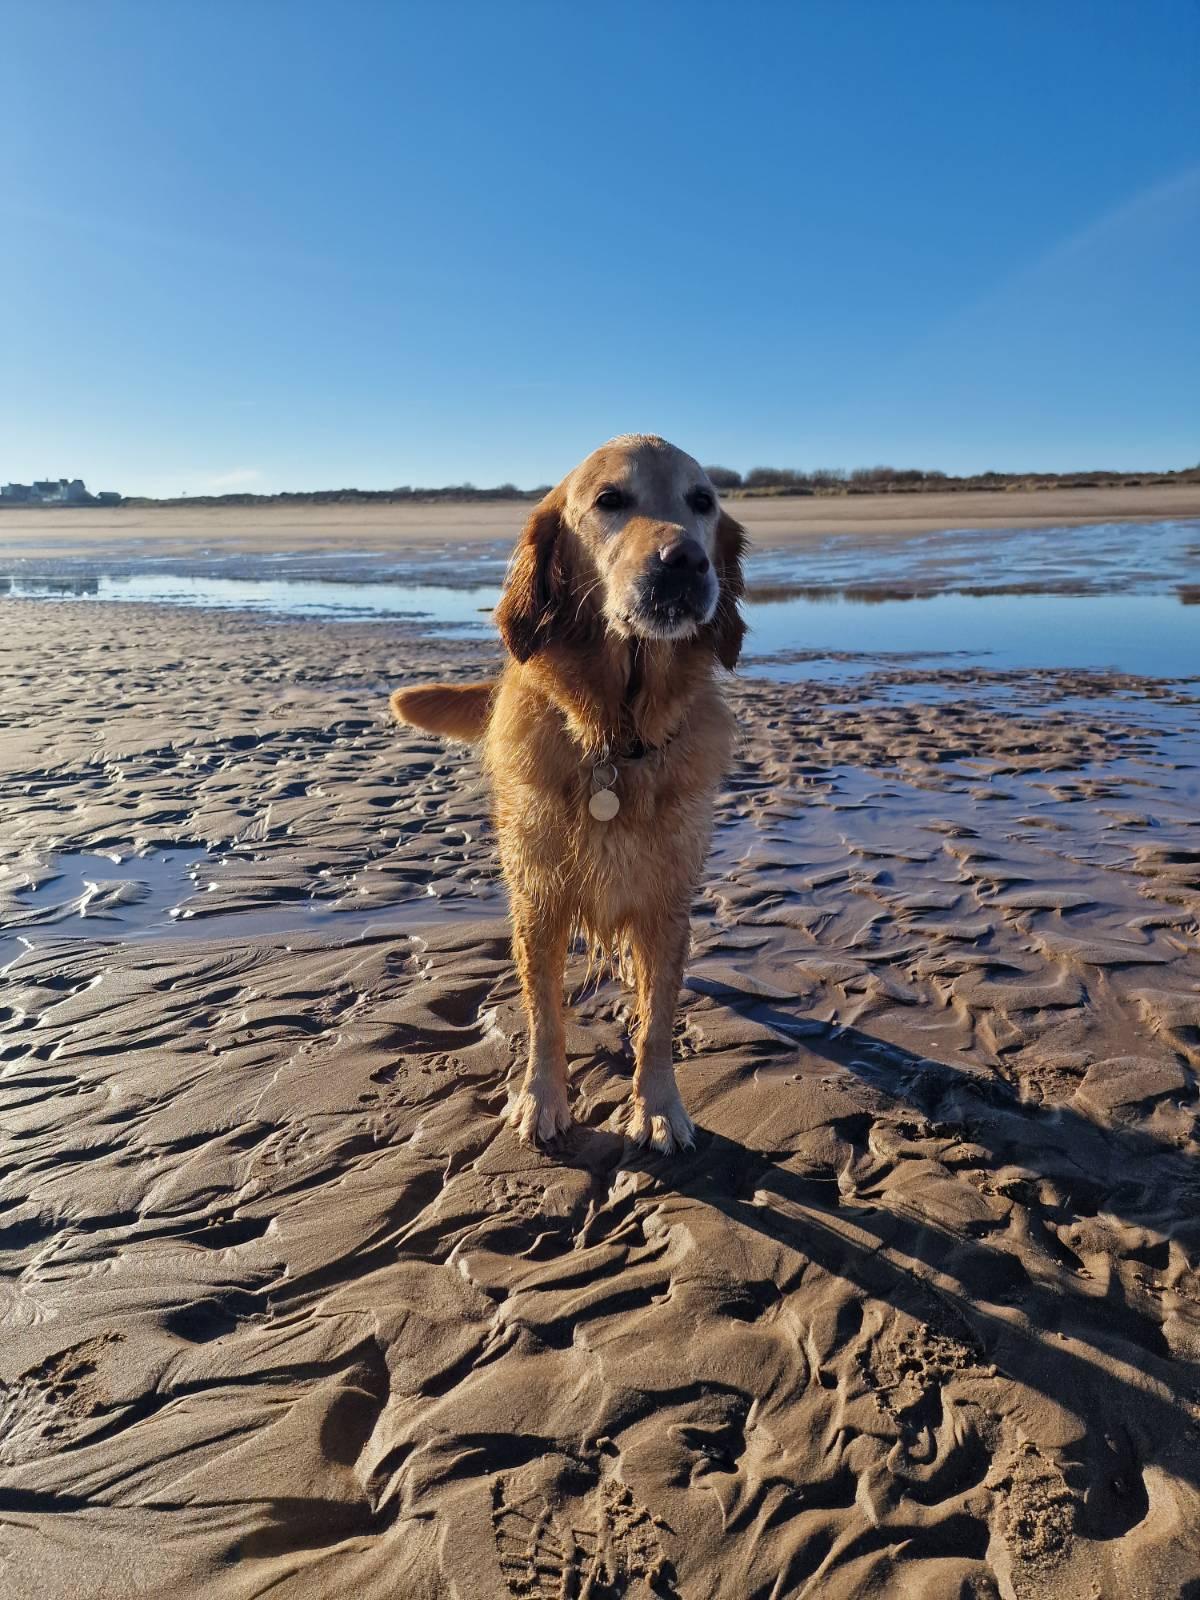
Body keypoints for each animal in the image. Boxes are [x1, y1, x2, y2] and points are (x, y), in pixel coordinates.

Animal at [395, 435, 748, 1152]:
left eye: (702, 501)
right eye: (610, 499)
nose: (685, 561)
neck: (616, 737)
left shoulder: (667, 903)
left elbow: (656, 1021)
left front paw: (658, 1105)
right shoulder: (539, 900)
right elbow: (545, 1016)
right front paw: (542, 1099)